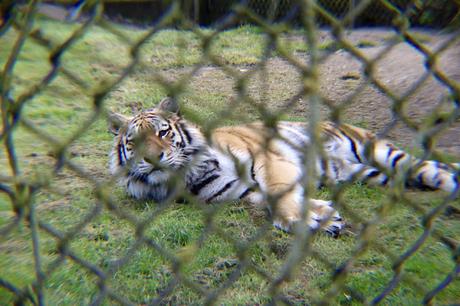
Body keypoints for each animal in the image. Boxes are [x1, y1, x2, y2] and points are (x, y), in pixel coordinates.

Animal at [109, 97, 458, 237]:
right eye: (134, 141)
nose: (154, 159)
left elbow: (278, 193)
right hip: (365, 173)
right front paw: (323, 215)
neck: (191, 172)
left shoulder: (270, 158)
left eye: (162, 133)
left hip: (375, 149)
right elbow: (266, 201)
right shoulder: (238, 192)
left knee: (428, 168)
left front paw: (301, 218)